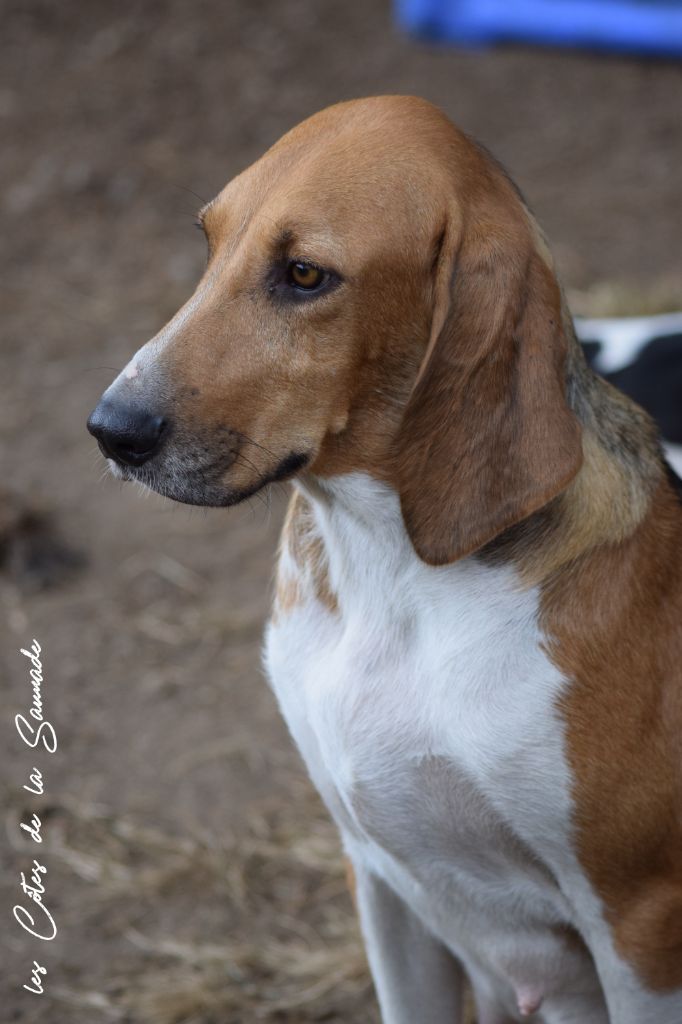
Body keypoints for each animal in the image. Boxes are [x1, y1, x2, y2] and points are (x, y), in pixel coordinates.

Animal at [89, 97, 679, 1024]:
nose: (112, 430)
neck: (390, 579)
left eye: (304, 275)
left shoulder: (637, 926)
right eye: (209, 241)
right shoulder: (381, 881)